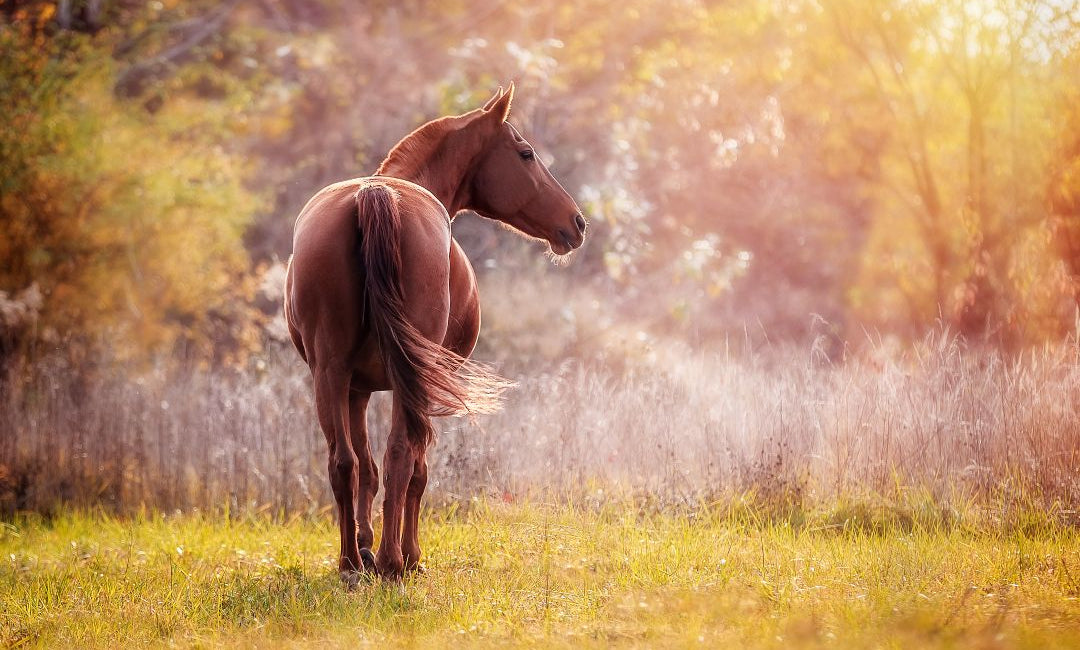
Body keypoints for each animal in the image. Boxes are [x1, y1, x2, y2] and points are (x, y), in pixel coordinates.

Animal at [284, 83, 586, 584]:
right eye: (525, 153)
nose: (578, 223)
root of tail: (375, 194)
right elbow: (417, 467)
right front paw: (408, 554)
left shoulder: (356, 389)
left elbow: (364, 468)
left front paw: (364, 546)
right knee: (403, 458)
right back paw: (394, 560)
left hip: (330, 373)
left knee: (346, 463)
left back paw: (352, 565)